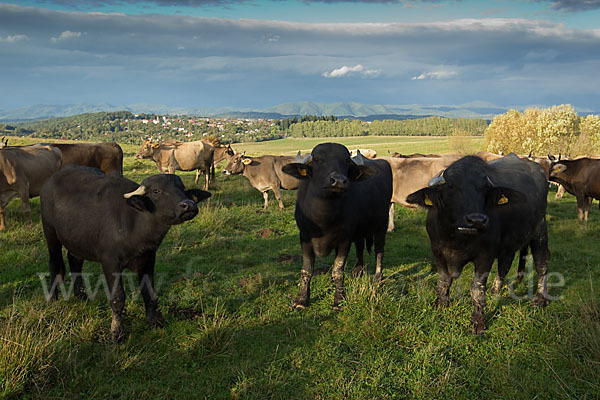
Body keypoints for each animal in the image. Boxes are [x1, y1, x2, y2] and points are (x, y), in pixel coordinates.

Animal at [282, 143, 394, 310]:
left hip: (382, 223)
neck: (323, 220)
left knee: (379, 250)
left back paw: (377, 278)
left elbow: (337, 270)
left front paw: (339, 300)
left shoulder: (344, 241)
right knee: (360, 245)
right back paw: (358, 270)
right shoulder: (305, 237)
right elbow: (306, 270)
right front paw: (301, 300)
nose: (339, 180)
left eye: (346, 160)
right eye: (317, 159)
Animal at [406, 154, 552, 334]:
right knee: (505, 264)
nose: (476, 220)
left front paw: (478, 322)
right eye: (451, 187)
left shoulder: (485, 256)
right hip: (509, 240)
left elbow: (476, 288)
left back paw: (540, 299)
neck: (457, 239)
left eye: (485, 189)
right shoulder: (437, 251)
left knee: (541, 262)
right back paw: (495, 291)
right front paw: (441, 303)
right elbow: (444, 280)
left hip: (540, 228)